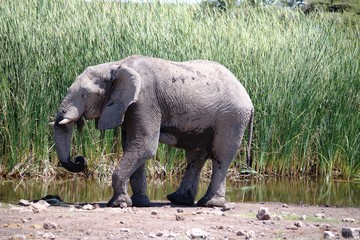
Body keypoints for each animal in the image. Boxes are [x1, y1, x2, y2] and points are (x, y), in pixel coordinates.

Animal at [54, 54, 255, 208]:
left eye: (84, 94)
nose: (79, 160)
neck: (116, 65)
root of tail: (248, 98)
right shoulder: (130, 106)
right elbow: (132, 146)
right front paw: (140, 203)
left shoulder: (144, 101)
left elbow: (144, 147)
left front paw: (119, 204)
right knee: (196, 157)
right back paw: (178, 200)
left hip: (231, 117)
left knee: (220, 156)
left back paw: (210, 204)